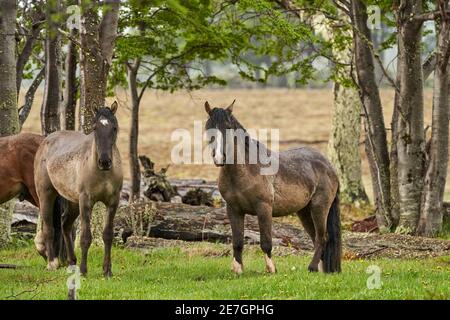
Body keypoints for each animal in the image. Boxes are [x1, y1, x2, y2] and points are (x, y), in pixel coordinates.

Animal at [205, 101, 342, 274]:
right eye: (208, 127)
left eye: (228, 127)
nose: (219, 157)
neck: (246, 169)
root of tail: (329, 165)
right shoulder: (234, 210)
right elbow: (237, 242)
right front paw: (238, 270)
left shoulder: (263, 208)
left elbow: (265, 241)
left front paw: (271, 269)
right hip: (304, 212)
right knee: (316, 237)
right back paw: (321, 270)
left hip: (320, 207)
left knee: (322, 238)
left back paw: (311, 267)